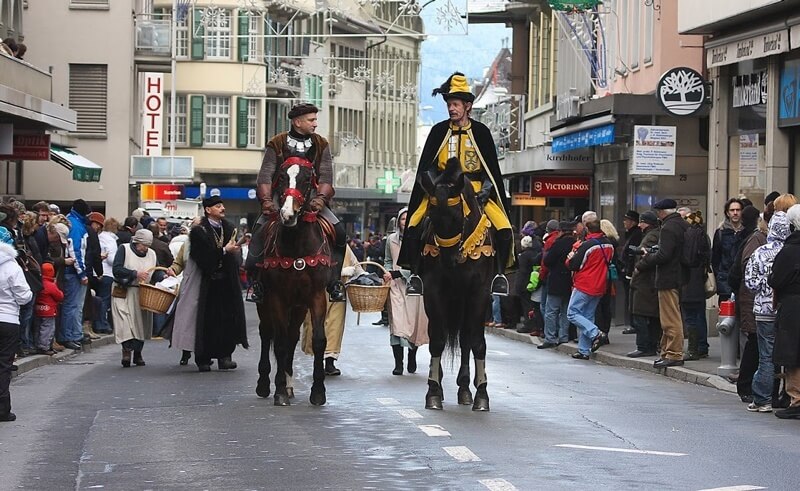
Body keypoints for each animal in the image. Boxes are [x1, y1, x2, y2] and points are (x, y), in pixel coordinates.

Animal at [256, 157, 332, 408]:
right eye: (281, 177)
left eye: (307, 179)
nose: (287, 214)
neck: (297, 244)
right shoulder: (276, 297)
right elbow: (278, 342)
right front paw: (278, 391)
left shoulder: (316, 297)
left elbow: (318, 340)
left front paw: (318, 391)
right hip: (264, 302)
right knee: (267, 333)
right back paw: (265, 384)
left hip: (298, 307)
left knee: (291, 337)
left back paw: (289, 385)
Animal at [418, 158, 494, 412]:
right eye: (431, 216)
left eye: (457, 216)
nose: (448, 260)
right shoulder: (433, 292)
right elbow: (437, 341)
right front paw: (433, 392)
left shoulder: (479, 293)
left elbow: (477, 343)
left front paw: (481, 395)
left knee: (466, 339)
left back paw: (465, 389)